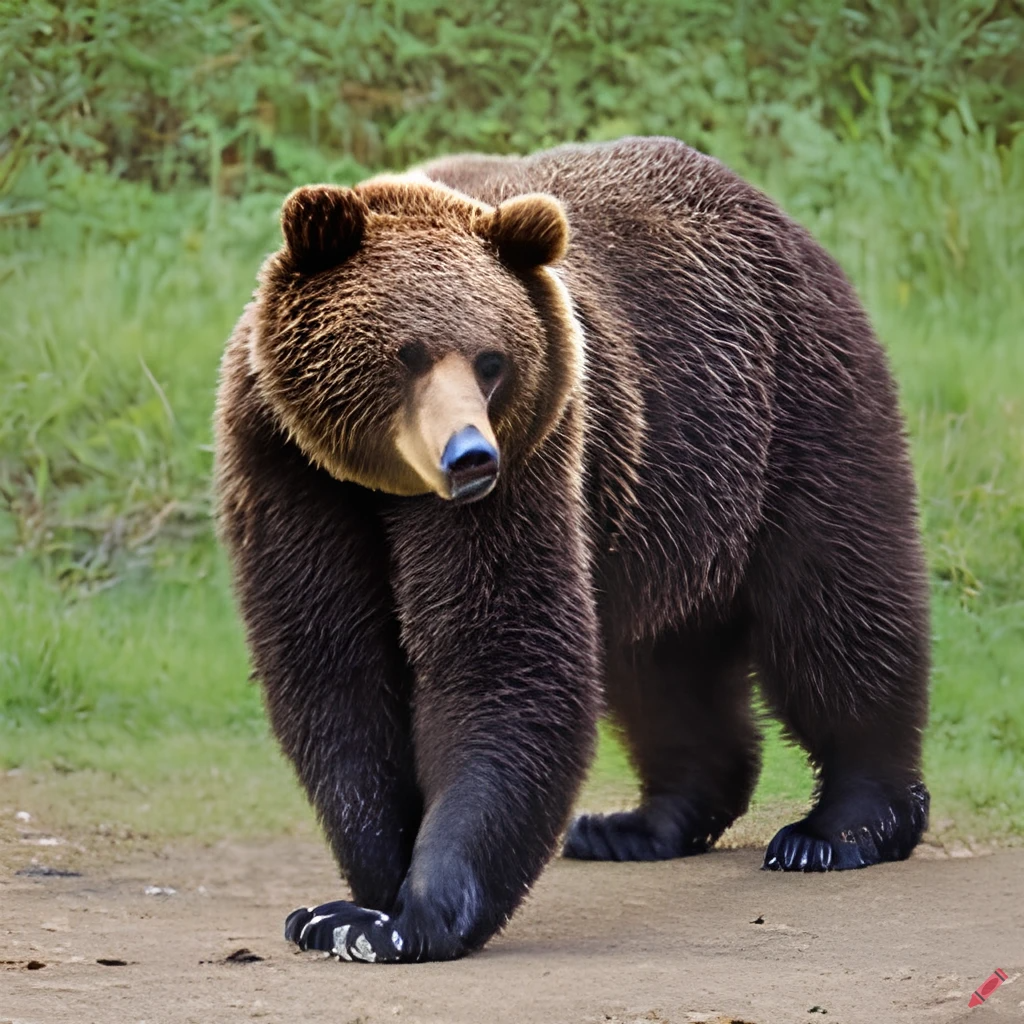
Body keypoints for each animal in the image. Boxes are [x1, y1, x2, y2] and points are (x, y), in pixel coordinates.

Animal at [214, 134, 929, 958]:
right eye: (407, 354)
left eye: (492, 360)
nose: (470, 457)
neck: (381, 484)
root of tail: (773, 210)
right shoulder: (288, 469)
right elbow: (333, 666)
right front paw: (351, 903)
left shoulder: (535, 452)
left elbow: (503, 650)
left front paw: (413, 914)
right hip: (664, 501)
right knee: (662, 665)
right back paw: (637, 823)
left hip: (788, 412)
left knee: (833, 604)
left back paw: (839, 827)